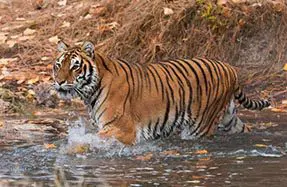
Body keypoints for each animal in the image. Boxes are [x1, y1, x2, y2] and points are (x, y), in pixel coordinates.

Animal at [53, 40, 272, 145]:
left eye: (75, 67)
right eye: (58, 65)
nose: (59, 81)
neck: (89, 93)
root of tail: (230, 68)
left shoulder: (122, 129)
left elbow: (93, 139)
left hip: (200, 125)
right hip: (229, 118)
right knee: (243, 128)